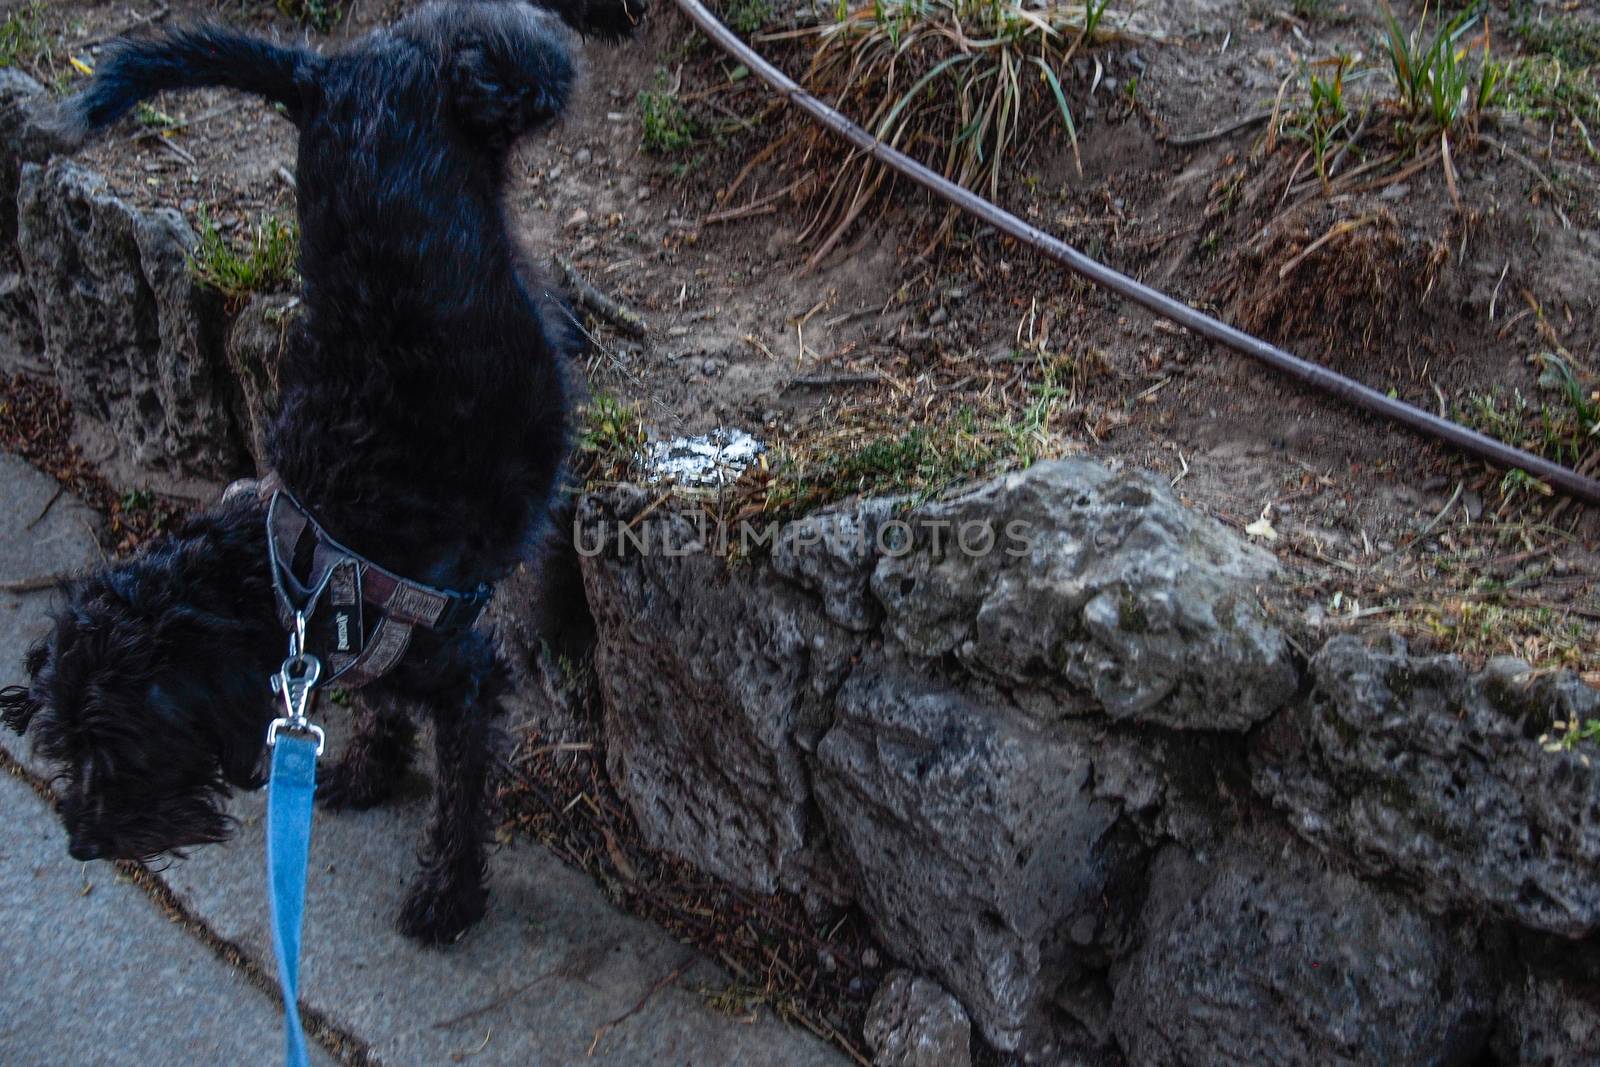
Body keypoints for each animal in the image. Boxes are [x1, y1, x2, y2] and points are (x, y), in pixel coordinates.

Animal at [1, 0, 636, 940]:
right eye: (65, 745)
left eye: (120, 748)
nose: (81, 843)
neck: (285, 572)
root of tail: (328, 74)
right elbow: (376, 704)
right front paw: (372, 769)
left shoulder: (469, 677)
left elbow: (460, 797)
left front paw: (447, 895)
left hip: (512, 72)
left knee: (524, 46)